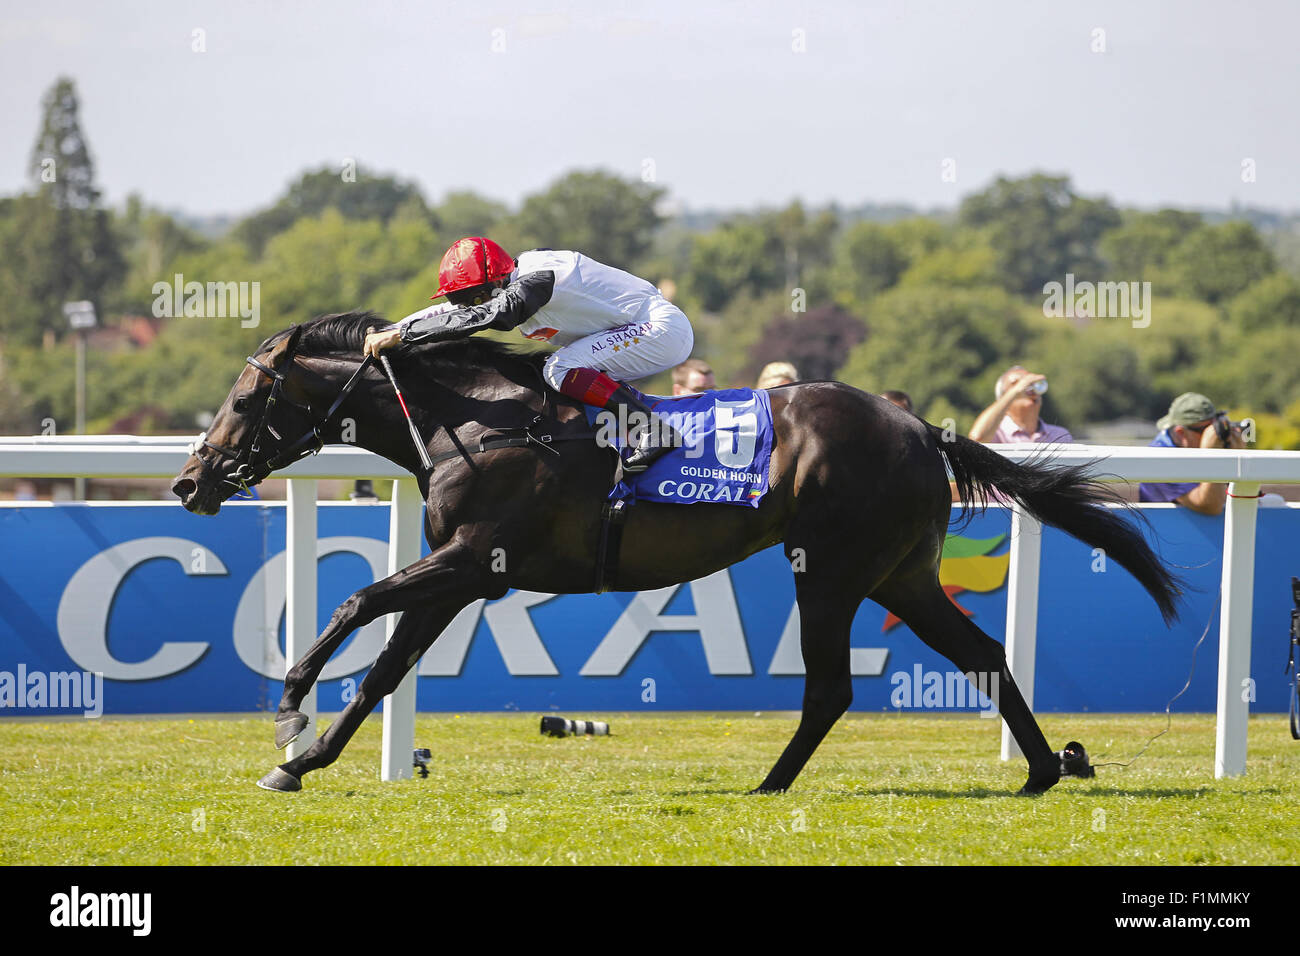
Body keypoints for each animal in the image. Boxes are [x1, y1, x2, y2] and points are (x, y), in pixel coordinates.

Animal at [170, 312, 1180, 790]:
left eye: (246, 398)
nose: (189, 480)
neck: (477, 420)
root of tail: (918, 424)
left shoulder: (472, 559)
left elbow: (355, 604)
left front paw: (290, 709)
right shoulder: (461, 574)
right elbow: (385, 667)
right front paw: (300, 762)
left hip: (832, 570)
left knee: (831, 688)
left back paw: (769, 785)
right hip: (903, 574)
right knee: (982, 653)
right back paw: (1043, 770)